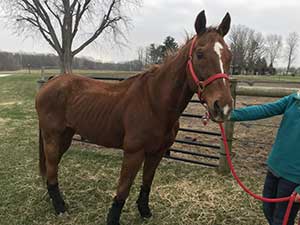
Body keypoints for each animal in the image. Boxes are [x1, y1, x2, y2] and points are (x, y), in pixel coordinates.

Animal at [34, 9, 232, 224]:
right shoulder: (133, 153)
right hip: (52, 137)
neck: (154, 102)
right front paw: (113, 218)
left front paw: (144, 211)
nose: (222, 107)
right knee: (52, 167)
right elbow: (123, 188)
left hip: (65, 137)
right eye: (200, 54)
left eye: (229, 55)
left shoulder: (156, 152)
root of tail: (50, 82)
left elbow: (147, 182)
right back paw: (60, 207)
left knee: (52, 167)